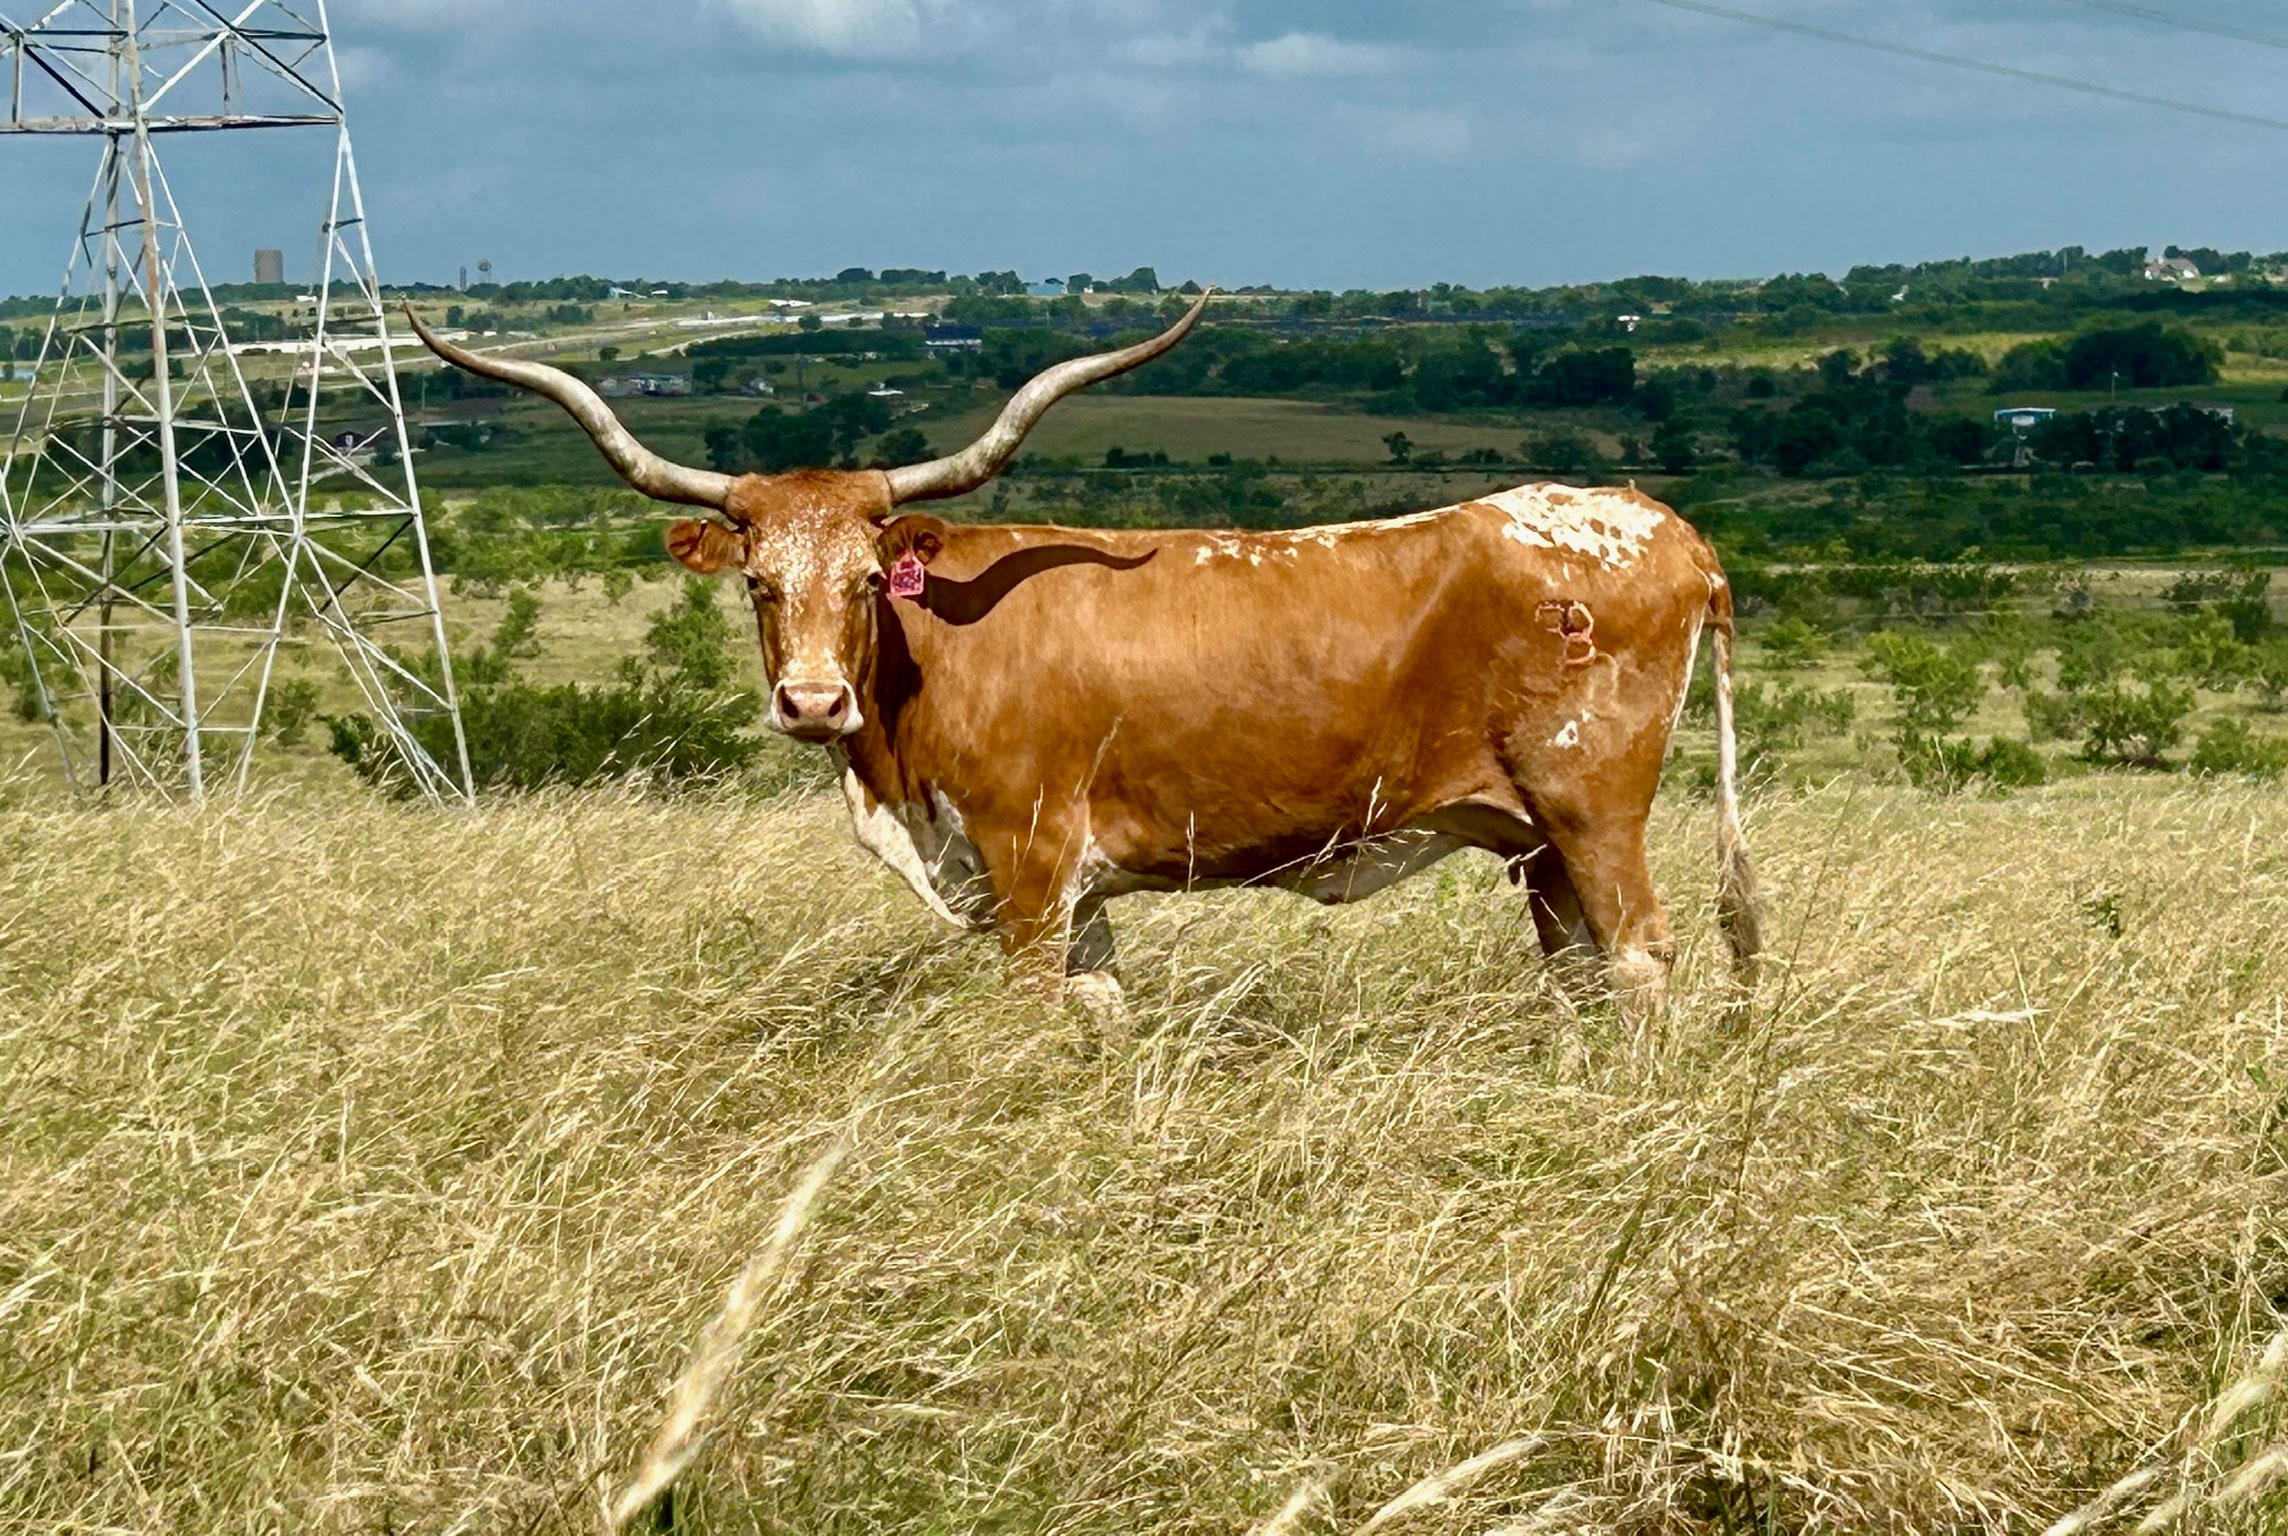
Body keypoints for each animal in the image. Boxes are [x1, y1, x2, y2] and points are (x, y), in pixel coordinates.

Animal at [406, 296, 1758, 1064]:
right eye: (757, 583)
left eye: (867, 578)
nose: (811, 703)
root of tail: (1661, 528)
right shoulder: (1079, 887)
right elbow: (1101, 1014)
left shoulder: (1025, 861)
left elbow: (1026, 1016)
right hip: (1531, 838)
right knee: (1578, 969)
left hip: (1591, 809)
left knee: (1640, 956)